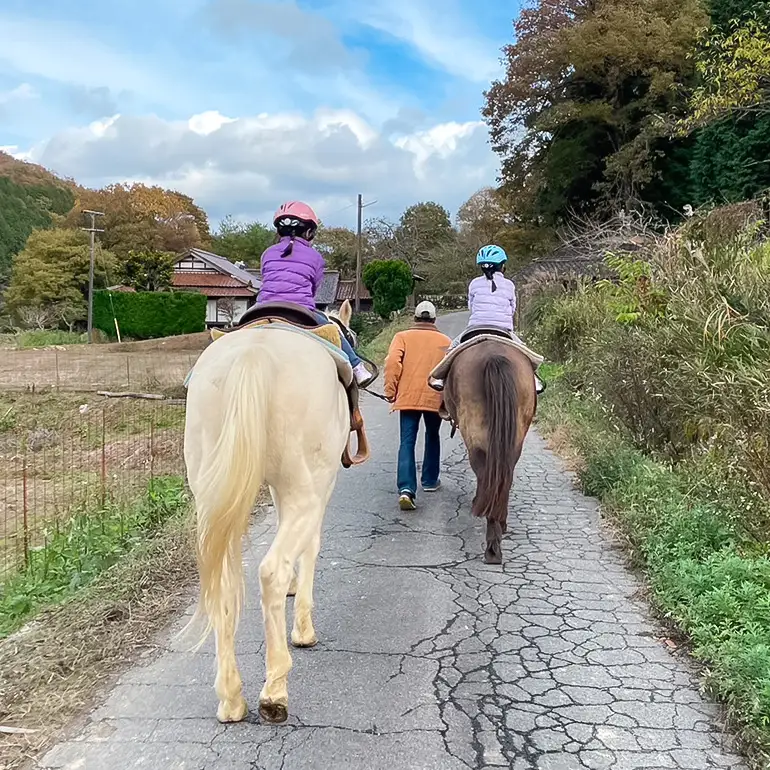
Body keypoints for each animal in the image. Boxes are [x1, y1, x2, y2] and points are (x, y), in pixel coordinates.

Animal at [182, 300, 363, 724]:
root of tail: (254, 354)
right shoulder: (318, 487)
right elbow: (311, 546)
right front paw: (303, 627)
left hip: (209, 497)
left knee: (224, 583)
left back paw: (231, 698)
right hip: (304, 490)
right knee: (270, 571)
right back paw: (274, 691)